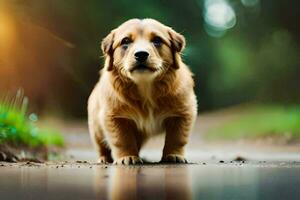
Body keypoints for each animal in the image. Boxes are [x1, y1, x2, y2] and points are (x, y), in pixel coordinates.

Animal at [88, 18, 198, 166]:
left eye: (157, 40)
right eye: (126, 41)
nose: (141, 54)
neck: (145, 86)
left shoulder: (182, 114)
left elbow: (177, 138)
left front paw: (174, 155)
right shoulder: (114, 116)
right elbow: (122, 140)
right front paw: (127, 157)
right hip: (96, 128)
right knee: (101, 146)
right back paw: (104, 159)